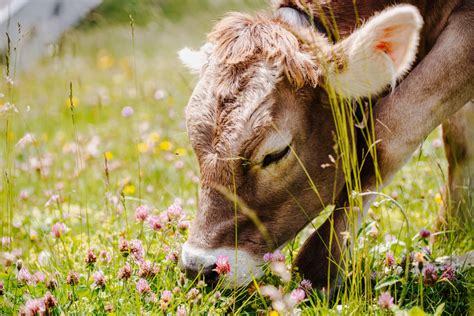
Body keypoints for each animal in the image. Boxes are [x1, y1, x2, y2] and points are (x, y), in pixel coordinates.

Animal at [179, 0, 474, 288]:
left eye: (276, 153)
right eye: (194, 144)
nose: (198, 268)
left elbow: (386, 135)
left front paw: (320, 265)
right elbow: (459, 143)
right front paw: (451, 232)